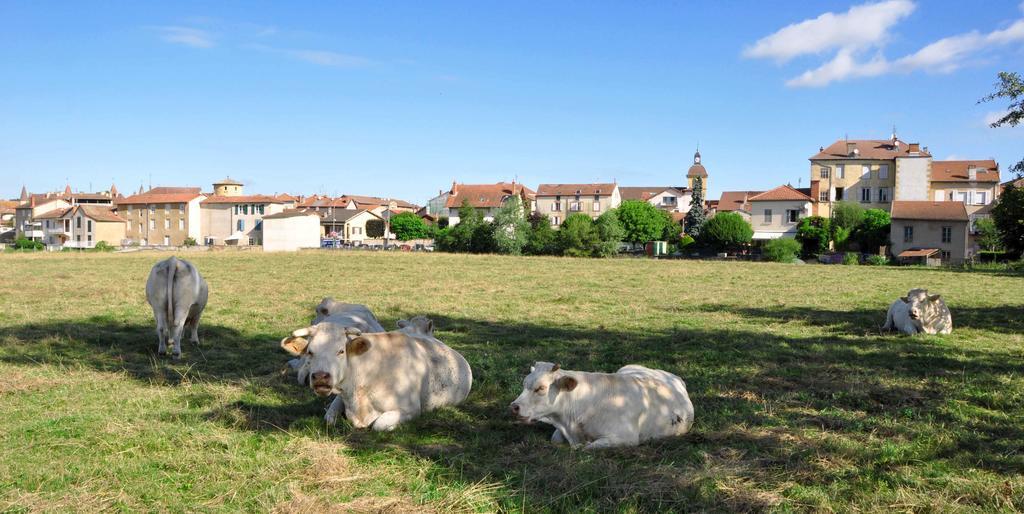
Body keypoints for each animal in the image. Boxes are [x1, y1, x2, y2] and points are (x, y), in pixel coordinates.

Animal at [280, 317, 471, 430]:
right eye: (310, 352)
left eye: (341, 351)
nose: (320, 376)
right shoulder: (341, 396)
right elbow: (329, 417)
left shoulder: (411, 409)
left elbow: (379, 424)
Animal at [512, 360, 696, 450]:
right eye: (524, 384)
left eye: (541, 388)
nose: (514, 407)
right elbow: (555, 439)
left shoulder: (625, 438)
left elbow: (587, 448)